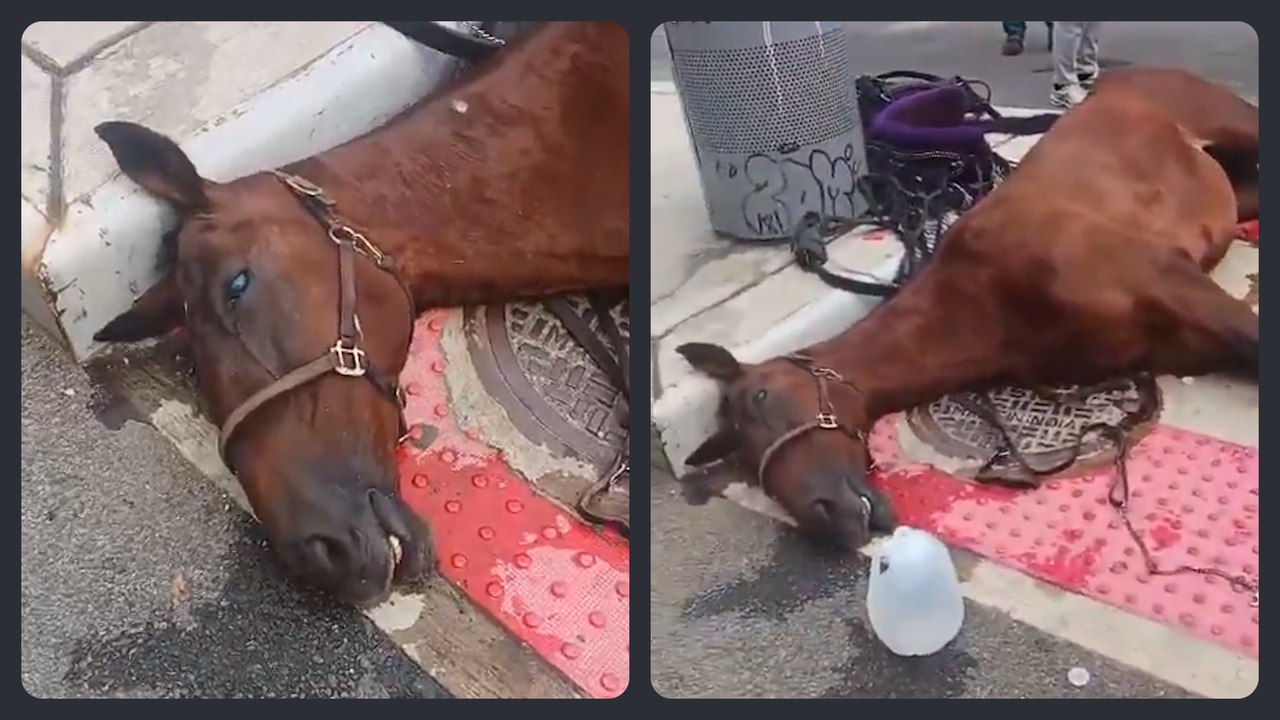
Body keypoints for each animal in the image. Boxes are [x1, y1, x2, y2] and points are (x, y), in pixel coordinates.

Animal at [678, 67, 1258, 552]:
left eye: (761, 397)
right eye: (739, 455)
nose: (825, 516)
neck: (987, 307)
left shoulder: (1170, 275)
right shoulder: (1175, 343)